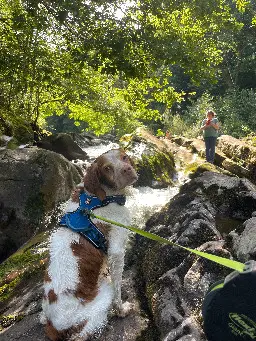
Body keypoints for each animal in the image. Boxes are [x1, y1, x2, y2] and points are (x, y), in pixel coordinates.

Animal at [41, 149, 138, 340]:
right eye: (107, 168)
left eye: (124, 157)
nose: (127, 169)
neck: (100, 198)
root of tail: (54, 326)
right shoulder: (117, 251)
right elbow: (118, 287)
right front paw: (122, 309)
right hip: (103, 294)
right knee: (82, 333)